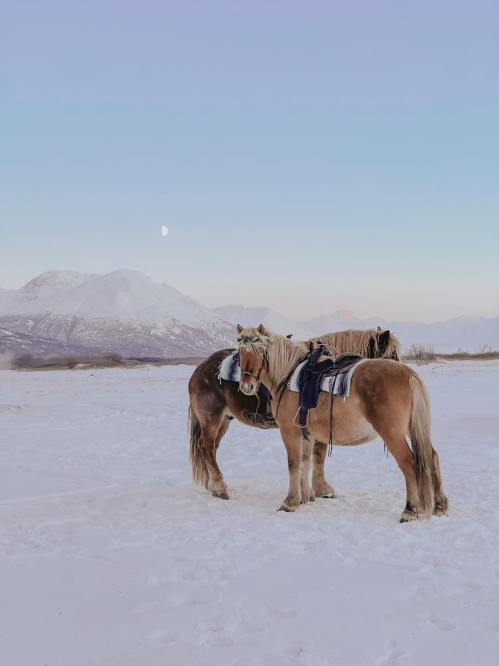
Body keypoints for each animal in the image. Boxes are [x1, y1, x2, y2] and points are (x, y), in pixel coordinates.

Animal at [188, 327, 401, 500]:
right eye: (392, 355)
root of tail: (201, 368)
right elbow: (319, 455)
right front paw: (321, 489)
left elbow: (314, 456)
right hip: (211, 418)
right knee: (207, 447)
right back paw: (219, 487)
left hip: (224, 419)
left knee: (211, 448)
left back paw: (212, 485)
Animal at [236, 325, 448, 522]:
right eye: (240, 353)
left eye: (260, 351)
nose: (246, 386)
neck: (288, 375)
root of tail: (409, 374)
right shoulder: (307, 434)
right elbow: (306, 462)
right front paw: (305, 497)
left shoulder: (290, 431)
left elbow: (294, 463)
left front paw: (290, 502)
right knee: (431, 457)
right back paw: (440, 506)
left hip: (393, 434)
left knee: (410, 463)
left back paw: (411, 510)